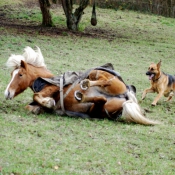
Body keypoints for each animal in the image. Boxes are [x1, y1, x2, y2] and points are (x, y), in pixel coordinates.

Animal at [4, 45, 159, 125]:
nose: (7, 93)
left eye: (20, 74)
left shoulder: (53, 87)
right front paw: (40, 108)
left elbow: (36, 95)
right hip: (99, 109)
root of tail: (127, 96)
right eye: (12, 74)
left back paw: (86, 83)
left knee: (104, 81)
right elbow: (31, 104)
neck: (45, 79)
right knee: (101, 100)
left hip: (104, 78)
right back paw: (81, 96)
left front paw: (48, 102)